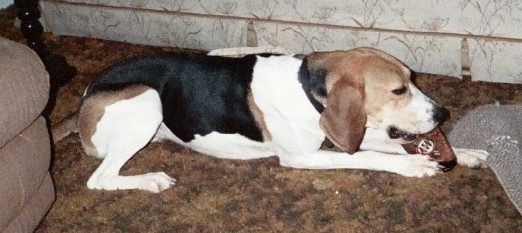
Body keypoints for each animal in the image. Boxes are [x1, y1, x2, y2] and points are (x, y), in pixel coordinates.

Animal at [50, 46, 486, 193]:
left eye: (413, 79)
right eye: (398, 91)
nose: (442, 114)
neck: (308, 87)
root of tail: (85, 97)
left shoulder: (343, 134)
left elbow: (387, 143)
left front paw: (462, 153)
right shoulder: (304, 156)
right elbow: (372, 156)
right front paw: (416, 165)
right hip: (148, 99)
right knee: (99, 179)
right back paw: (150, 180)